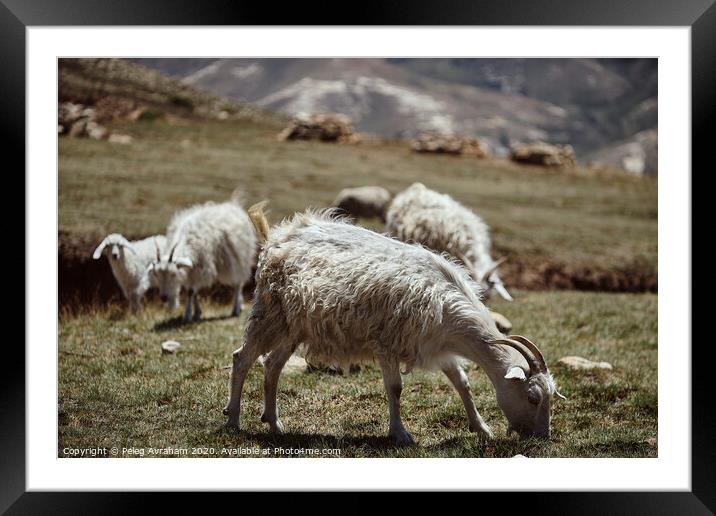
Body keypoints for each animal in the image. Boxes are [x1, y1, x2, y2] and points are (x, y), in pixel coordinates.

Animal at [224, 204, 564, 446]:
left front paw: (481, 428)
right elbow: (396, 388)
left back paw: (274, 423)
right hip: (269, 313)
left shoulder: (437, 346)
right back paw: (232, 420)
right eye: (533, 397)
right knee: (242, 359)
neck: (446, 303)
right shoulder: (387, 342)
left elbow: (462, 383)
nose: (542, 438)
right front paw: (400, 433)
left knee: (272, 366)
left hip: (294, 327)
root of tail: (277, 236)